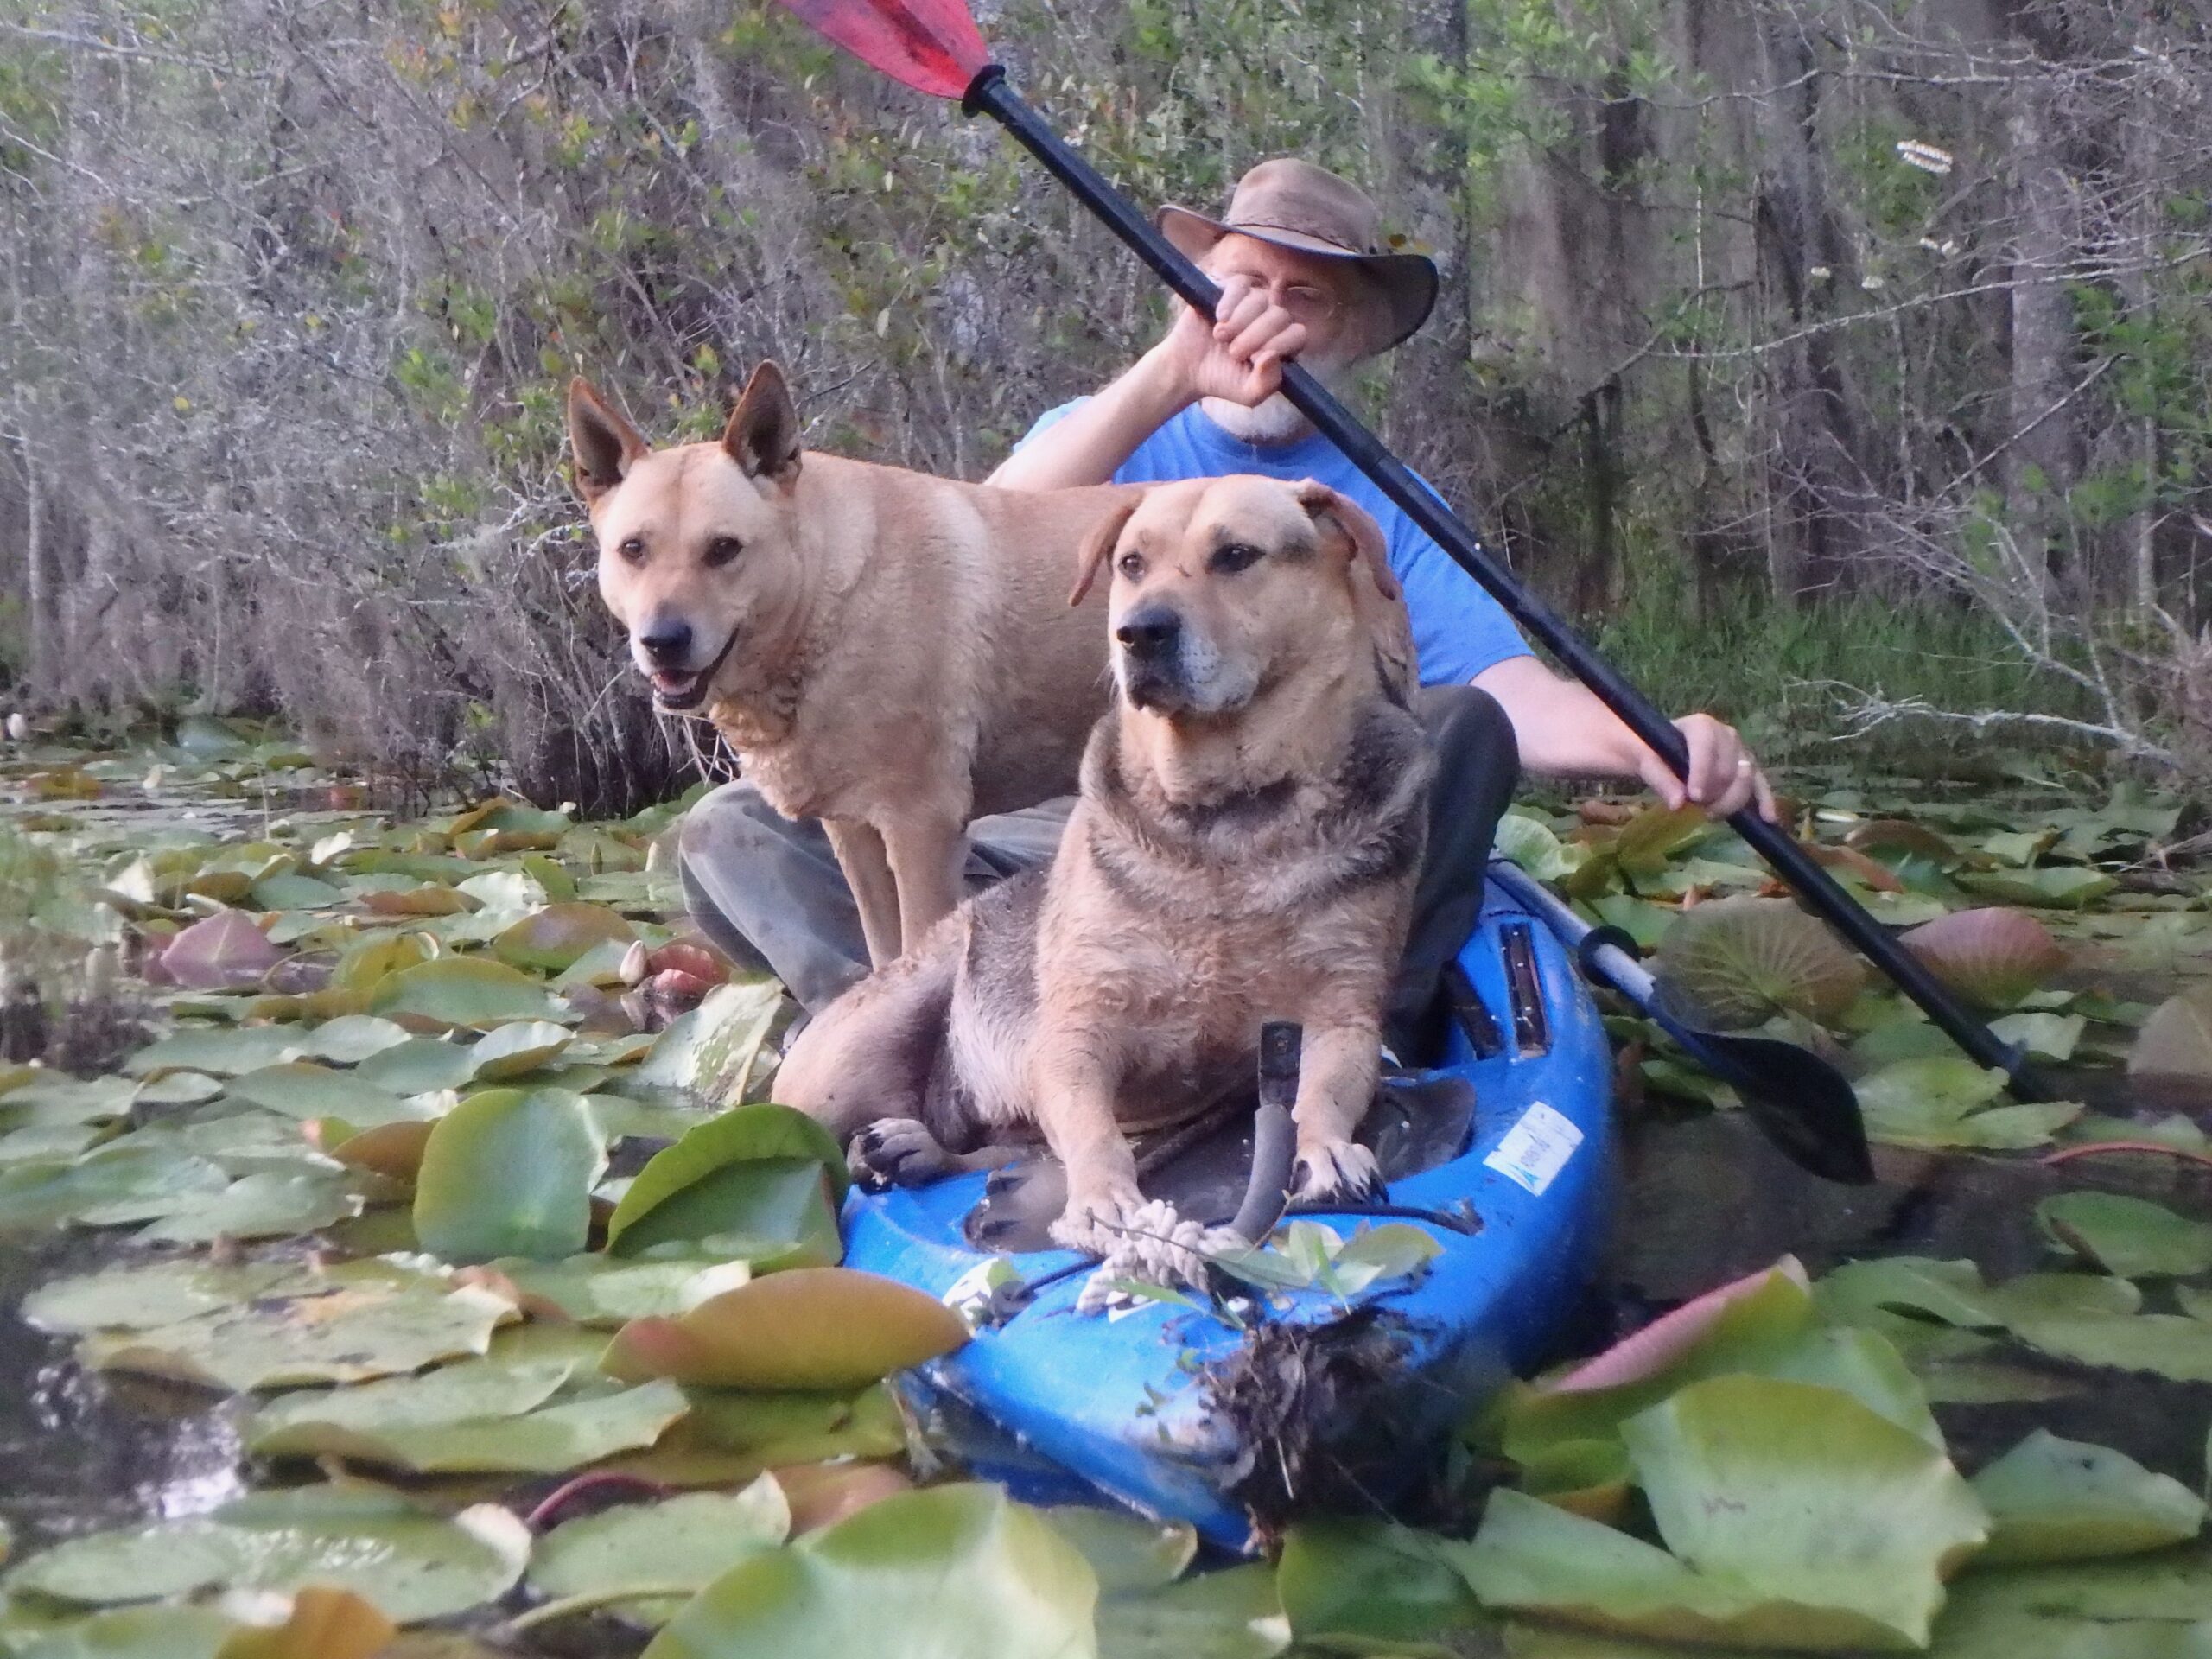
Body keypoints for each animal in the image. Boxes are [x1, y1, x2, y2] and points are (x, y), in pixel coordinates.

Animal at [570, 362, 1132, 960]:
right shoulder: (853, 829)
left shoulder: (921, 826)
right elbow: (883, 952)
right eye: (633, 549)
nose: (663, 640)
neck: (822, 599)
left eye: (724, 549)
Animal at [779, 473, 1433, 1256]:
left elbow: (1325, 1091)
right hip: (847, 1060)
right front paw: (1102, 1199)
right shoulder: (1081, 1026)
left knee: (986, 1149)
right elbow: (1092, 1131)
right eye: (1131, 564)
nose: (1139, 632)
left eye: (1237, 556)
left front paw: (1326, 1150)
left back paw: (912, 1147)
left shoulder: (1345, 1008)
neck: (1225, 817)